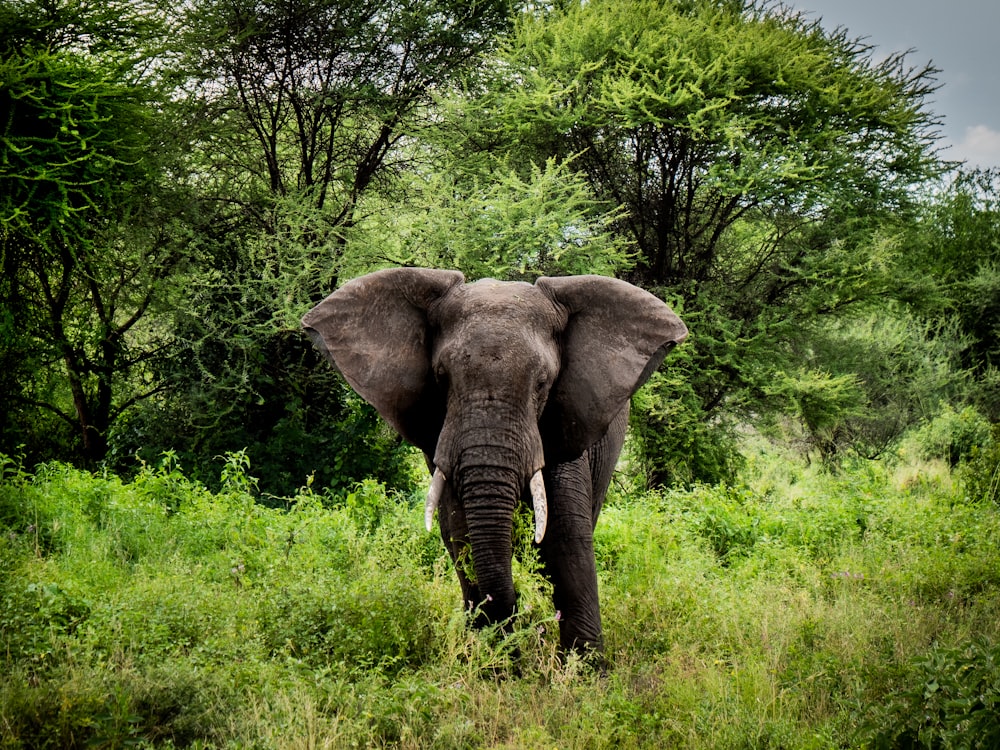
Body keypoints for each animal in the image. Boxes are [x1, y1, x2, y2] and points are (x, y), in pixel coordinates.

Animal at [298, 270, 688, 664]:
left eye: (543, 382)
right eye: (441, 377)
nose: (519, 612)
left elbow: (565, 537)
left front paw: (586, 669)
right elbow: (461, 533)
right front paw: (495, 661)